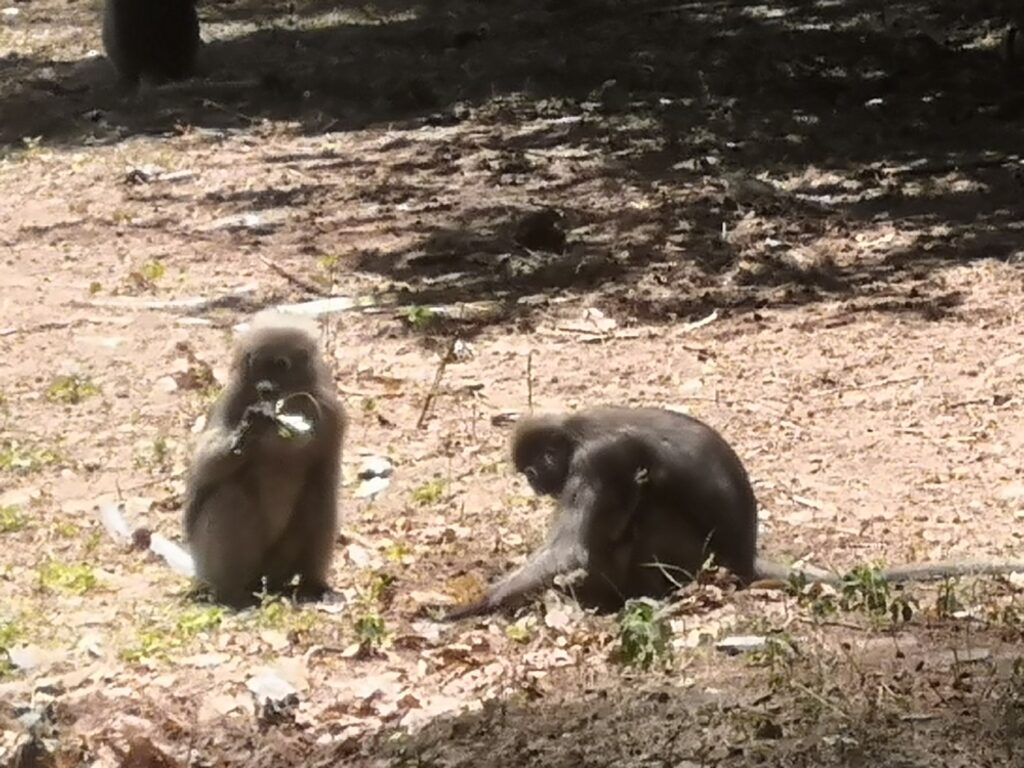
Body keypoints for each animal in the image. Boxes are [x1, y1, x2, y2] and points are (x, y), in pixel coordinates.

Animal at [182, 311, 347, 609]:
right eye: (256, 364)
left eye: (281, 364)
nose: (265, 388)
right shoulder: (233, 398)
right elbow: (202, 469)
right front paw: (251, 426)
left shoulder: (333, 415)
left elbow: (325, 480)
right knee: (231, 496)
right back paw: (233, 595)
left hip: (279, 563)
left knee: (318, 498)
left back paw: (310, 585)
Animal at [444, 407, 1024, 620]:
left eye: (530, 469)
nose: (532, 481)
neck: (579, 429)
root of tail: (745, 558)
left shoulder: (598, 461)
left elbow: (571, 548)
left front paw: (468, 606)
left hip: (695, 559)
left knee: (644, 501)